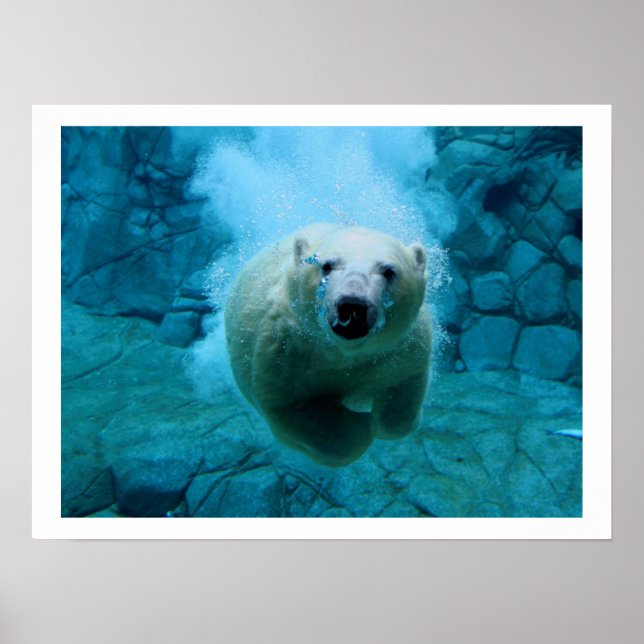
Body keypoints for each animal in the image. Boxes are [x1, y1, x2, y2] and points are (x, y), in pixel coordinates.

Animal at [225, 223, 432, 467]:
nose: (352, 305)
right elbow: (294, 409)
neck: (341, 353)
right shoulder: (285, 350)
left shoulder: (401, 348)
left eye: (389, 271)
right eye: (326, 266)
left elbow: (402, 388)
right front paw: (362, 425)